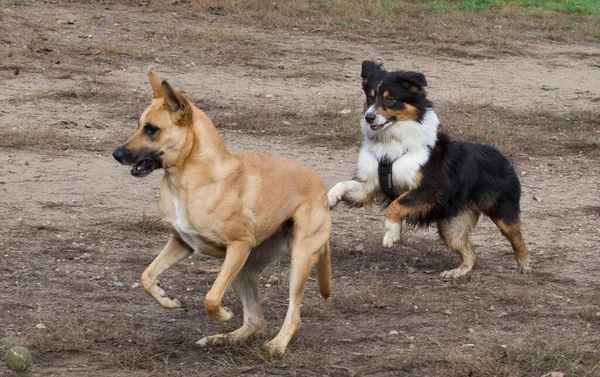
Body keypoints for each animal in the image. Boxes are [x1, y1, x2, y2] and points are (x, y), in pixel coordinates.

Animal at [112, 68, 332, 356]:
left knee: (293, 316)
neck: (188, 181)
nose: (116, 154)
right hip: (244, 271)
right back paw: (223, 339)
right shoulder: (182, 242)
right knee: (255, 322)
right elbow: (147, 276)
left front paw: (222, 316)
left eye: (151, 129)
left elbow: (212, 296)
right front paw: (167, 300)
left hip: (298, 259)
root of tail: (321, 188)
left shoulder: (238, 245)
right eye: (138, 125)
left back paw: (276, 345)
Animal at [328, 61, 528, 278]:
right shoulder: (369, 185)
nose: (369, 117)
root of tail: (502, 156)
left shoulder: (429, 189)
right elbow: (341, 185)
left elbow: (396, 205)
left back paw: (524, 265)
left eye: (390, 98)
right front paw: (329, 199)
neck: (392, 143)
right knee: (471, 255)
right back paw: (456, 273)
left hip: (502, 213)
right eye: (370, 97)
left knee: (518, 239)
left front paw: (391, 233)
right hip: (452, 226)